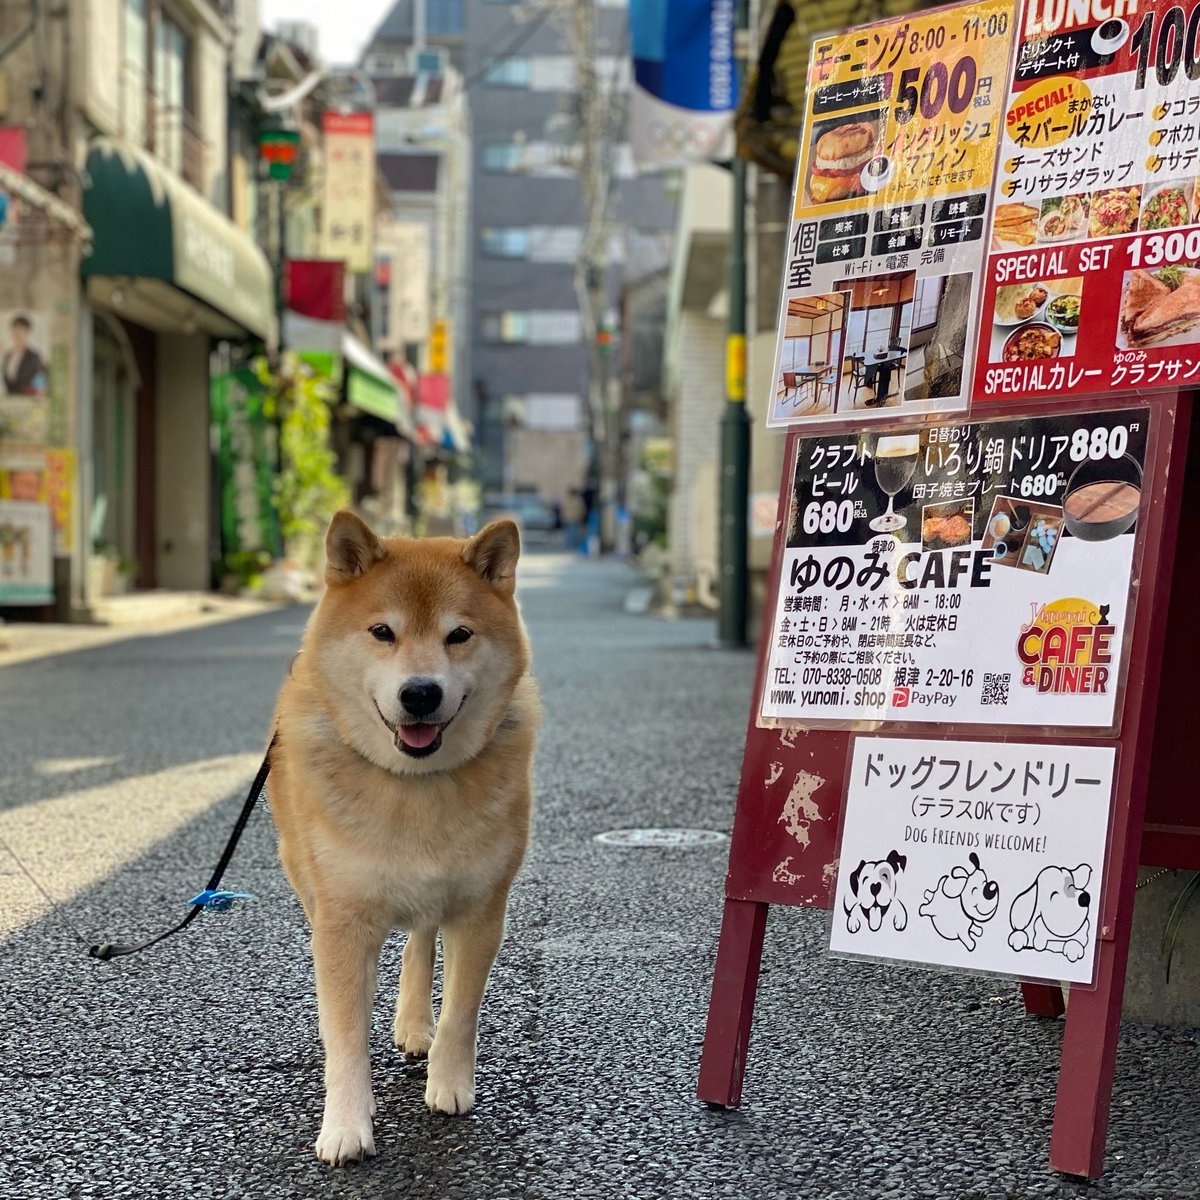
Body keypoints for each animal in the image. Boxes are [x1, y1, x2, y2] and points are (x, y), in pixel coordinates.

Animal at [272, 513, 540, 1161]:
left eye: (459, 634)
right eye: (382, 632)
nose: (420, 692)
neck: (413, 785)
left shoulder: (481, 909)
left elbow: (462, 1011)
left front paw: (449, 1082)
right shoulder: (341, 921)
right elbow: (345, 1035)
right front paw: (347, 1124)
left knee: (421, 940)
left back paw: (416, 1023)